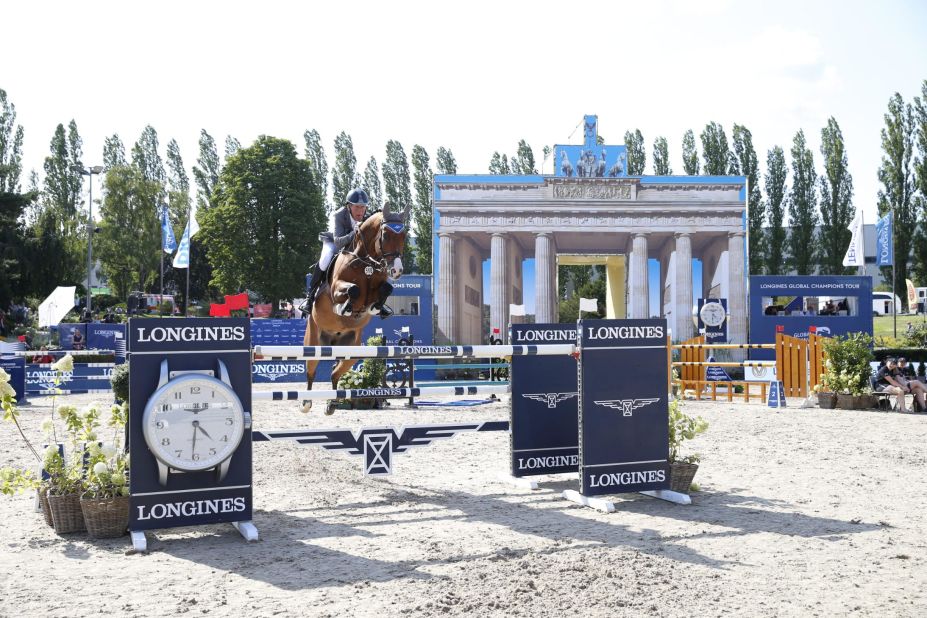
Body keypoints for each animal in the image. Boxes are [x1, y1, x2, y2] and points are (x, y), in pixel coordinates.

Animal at [302, 202, 408, 414]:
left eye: (404, 236)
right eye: (385, 235)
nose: (397, 271)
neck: (365, 261)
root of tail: (332, 340)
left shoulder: (379, 285)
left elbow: (386, 288)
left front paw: (377, 308)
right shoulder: (336, 289)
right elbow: (353, 289)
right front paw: (346, 308)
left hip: (351, 350)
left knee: (335, 372)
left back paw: (332, 403)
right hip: (313, 343)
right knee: (311, 371)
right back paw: (307, 402)